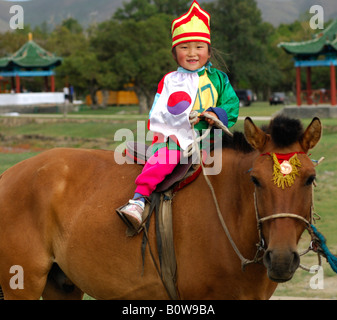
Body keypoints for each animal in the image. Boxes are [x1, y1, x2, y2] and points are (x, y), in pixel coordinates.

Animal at [0, 115, 320, 300]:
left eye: (310, 178)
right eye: (255, 180)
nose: (281, 258)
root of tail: (9, 174)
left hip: (62, 285)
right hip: (21, 284)